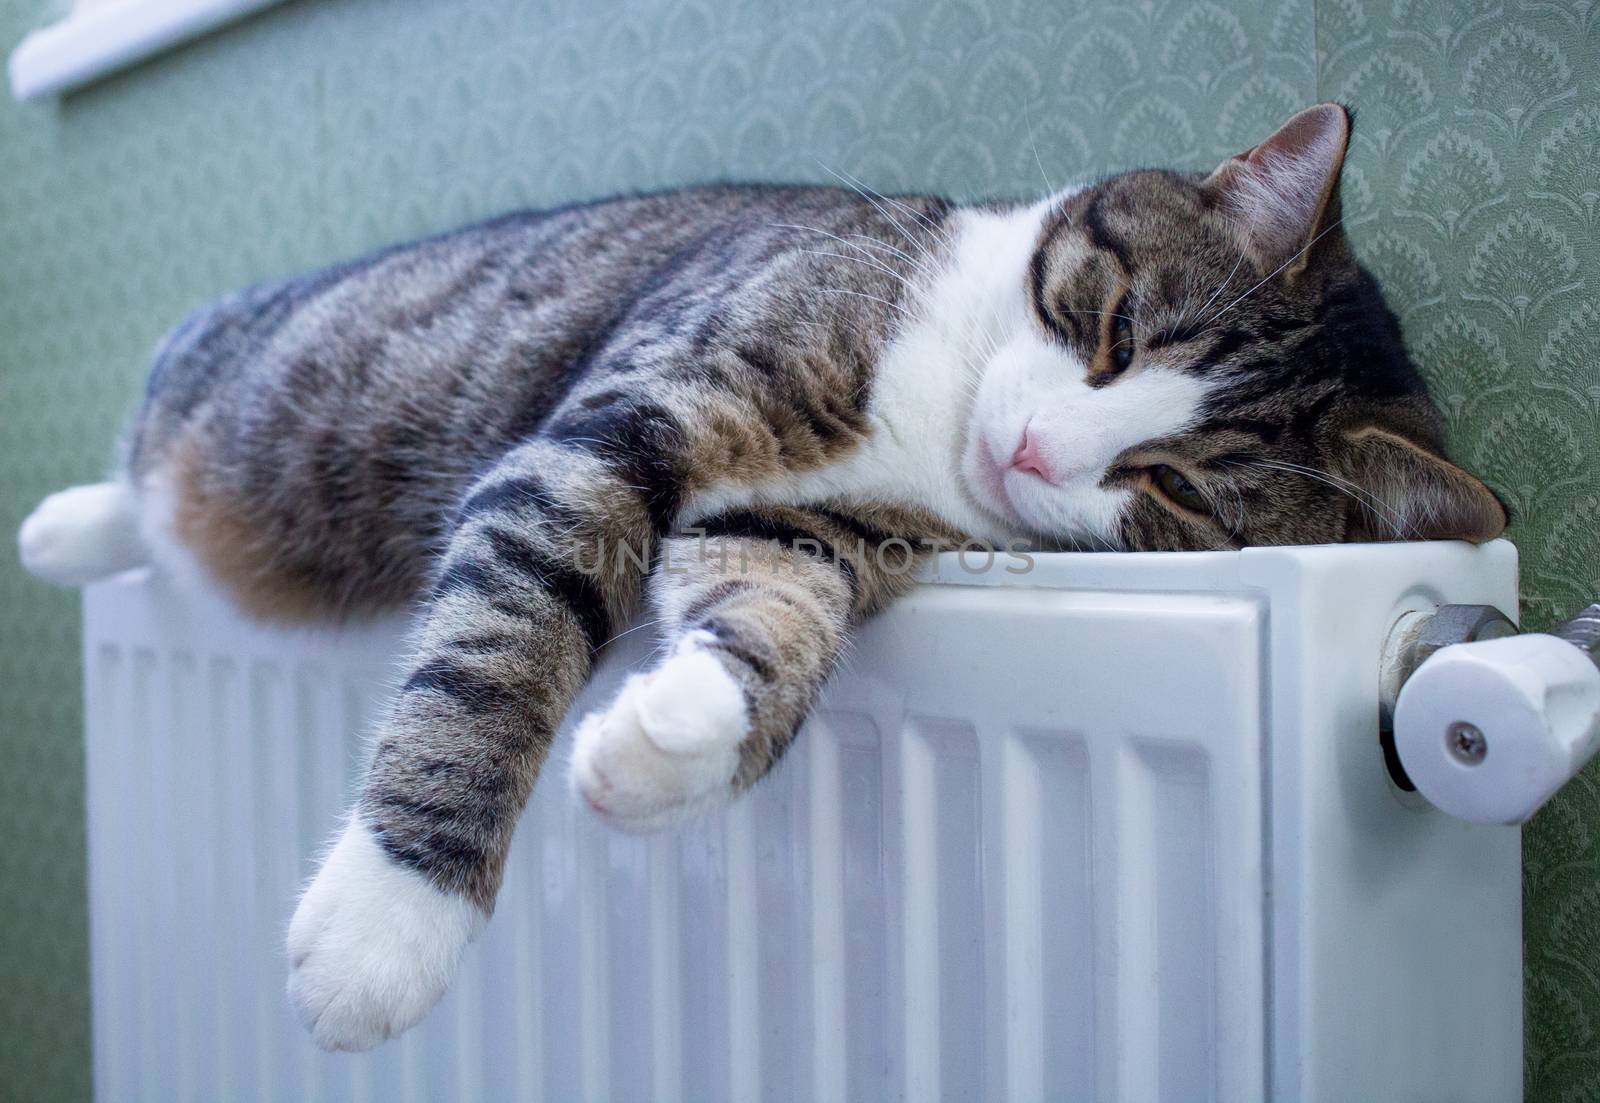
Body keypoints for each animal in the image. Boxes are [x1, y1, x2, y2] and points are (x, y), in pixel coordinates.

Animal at [18, 105, 1504, 1050]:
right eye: (1113, 327)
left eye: (1181, 488)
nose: (1032, 449)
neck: (933, 412)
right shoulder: (623, 422)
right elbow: (498, 652)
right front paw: (387, 925)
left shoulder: (811, 529)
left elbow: (772, 613)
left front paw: (676, 732)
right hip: (231, 390)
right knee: (152, 455)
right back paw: (69, 526)